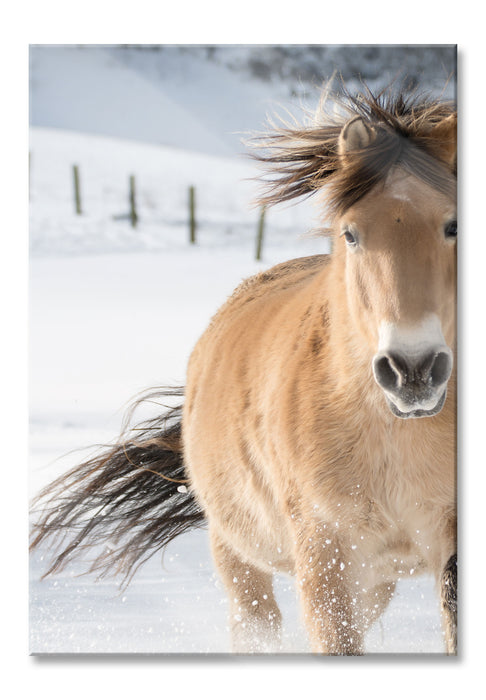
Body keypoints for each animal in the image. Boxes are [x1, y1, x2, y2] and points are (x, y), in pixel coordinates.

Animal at [30, 84, 457, 655]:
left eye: (455, 225)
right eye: (350, 234)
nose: (413, 370)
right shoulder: (326, 554)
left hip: (375, 579)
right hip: (238, 553)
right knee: (257, 625)